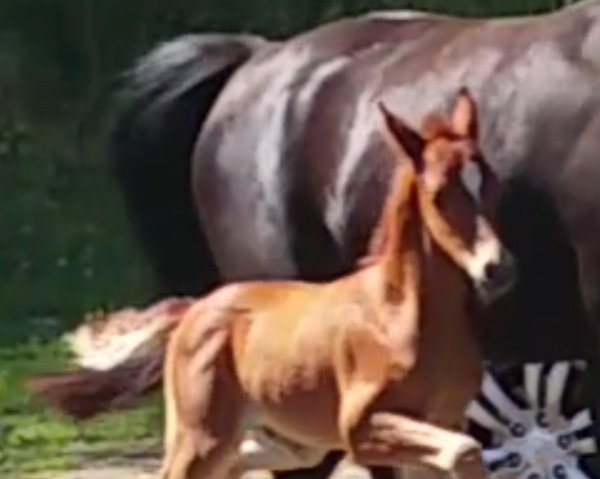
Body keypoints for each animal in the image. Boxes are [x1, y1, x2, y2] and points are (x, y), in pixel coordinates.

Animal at [29, 90, 516, 479]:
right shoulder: (361, 428)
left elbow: (462, 451)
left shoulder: (443, 421)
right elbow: (466, 452)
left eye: (491, 183)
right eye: (438, 195)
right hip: (200, 435)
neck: (402, 313)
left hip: (291, 441)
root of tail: (195, 309)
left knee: (241, 459)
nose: (497, 268)